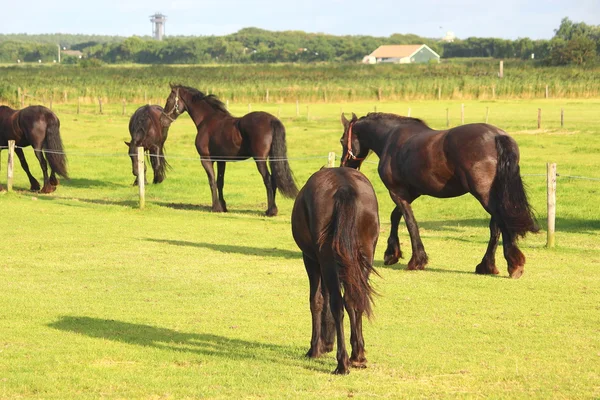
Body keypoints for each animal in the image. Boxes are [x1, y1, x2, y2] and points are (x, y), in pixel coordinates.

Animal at [161, 84, 298, 216]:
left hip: (260, 160)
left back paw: (271, 211)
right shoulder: (221, 160)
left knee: (268, 180)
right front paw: (223, 207)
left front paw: (216, 207)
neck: (207, 120)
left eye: (169, 100)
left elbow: (212, 181)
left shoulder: (206, 159)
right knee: (273, 180)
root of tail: (272, 120)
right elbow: (220, 182)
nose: (163, 120)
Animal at [290, 167, 380, 374]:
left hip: (326, 259)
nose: (327, 345)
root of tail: (344, 187)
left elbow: (317, 300)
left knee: (337, 304)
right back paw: (357, 356)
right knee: (355, 299)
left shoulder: (311, 260)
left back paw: (342, 363)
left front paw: (314, 348)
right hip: (364, 257)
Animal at [340, 111, 540, 278]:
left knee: (502, 222)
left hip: (485, 195)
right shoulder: (411, 192)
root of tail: (496, 135)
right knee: (495, 227)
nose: (345, 165)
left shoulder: (397, 192)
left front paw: (416, 260)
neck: (391, 138)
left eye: (342, 140)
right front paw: (392, 253)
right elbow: (395, 216)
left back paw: (513, 264)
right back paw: (486, 266)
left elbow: (410, 222)